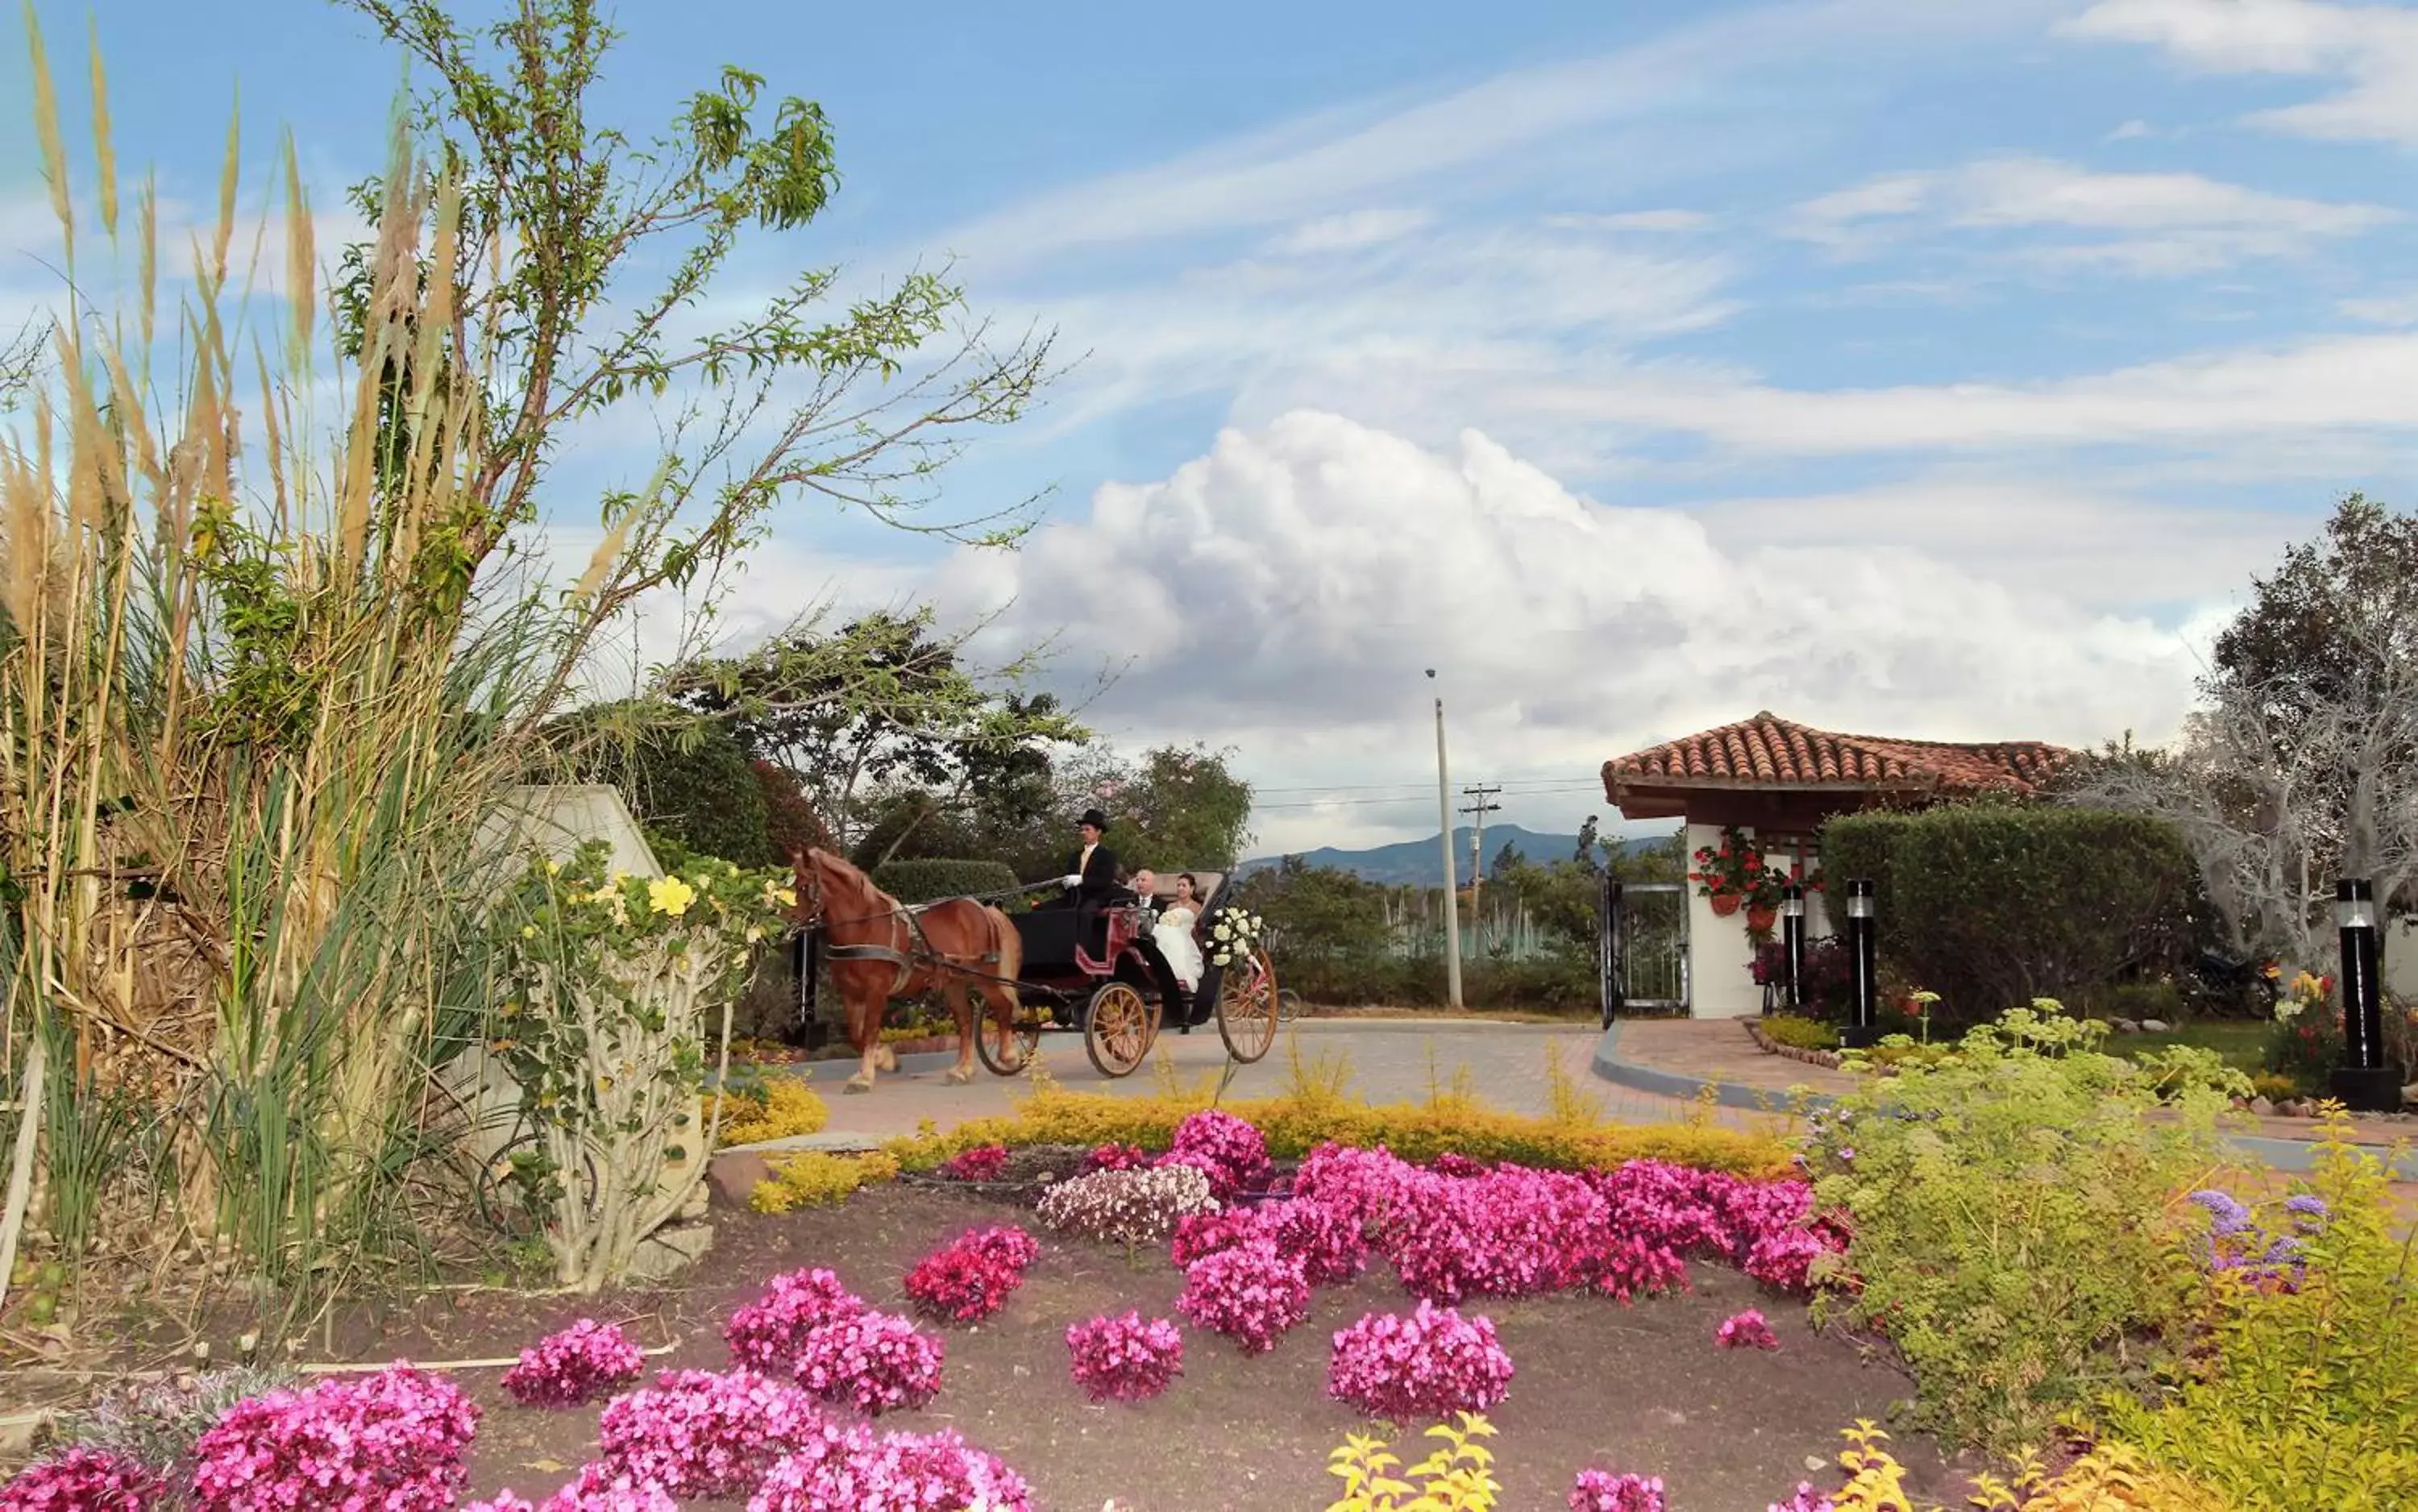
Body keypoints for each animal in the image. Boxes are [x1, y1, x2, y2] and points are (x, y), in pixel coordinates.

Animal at [793, 851, 1020, 1083]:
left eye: (803, 886)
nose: (791, 922)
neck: (865, 925)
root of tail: (985, 910)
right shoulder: (850, 991)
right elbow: (856, 1034)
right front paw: (884, 1060)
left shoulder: (876, 989)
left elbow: (870, 1030)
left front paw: (866, 1077)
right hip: (953, 981)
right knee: (965, 1020)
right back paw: (962, 1069)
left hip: (985, 976)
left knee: (1004, 1007)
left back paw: (1009, 1057)